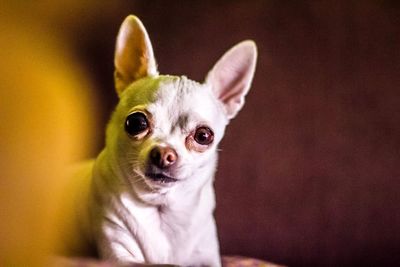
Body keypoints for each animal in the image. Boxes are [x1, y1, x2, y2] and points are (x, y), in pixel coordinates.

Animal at [69, 15, 256, 266]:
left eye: (203, 136)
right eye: (136, 123)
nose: (165, 154)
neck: (161, 207)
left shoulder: (208, 257)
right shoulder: (118, 255)